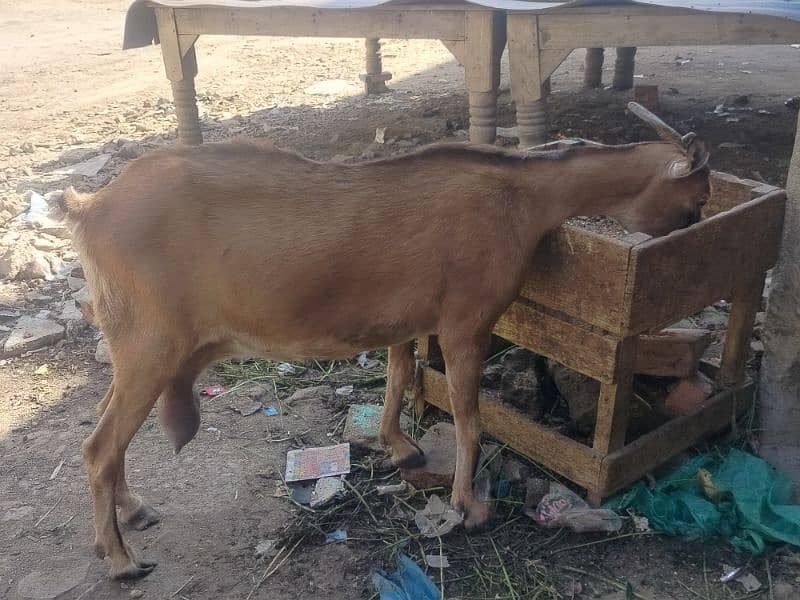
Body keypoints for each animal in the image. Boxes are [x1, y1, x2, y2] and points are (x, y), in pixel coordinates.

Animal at [64, 103, 712, 576]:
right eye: (698, 195)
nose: (693, 235)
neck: (521, 198)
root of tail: (89, 208)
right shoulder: (467, 321)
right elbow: (470, 415)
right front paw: (468, 506)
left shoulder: (412, 320)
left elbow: (400, 376)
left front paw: (400, 447)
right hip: (151, 346)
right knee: (100, 447)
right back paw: (120, 559)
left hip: (133, 346)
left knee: (104, 431)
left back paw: (134, 512)